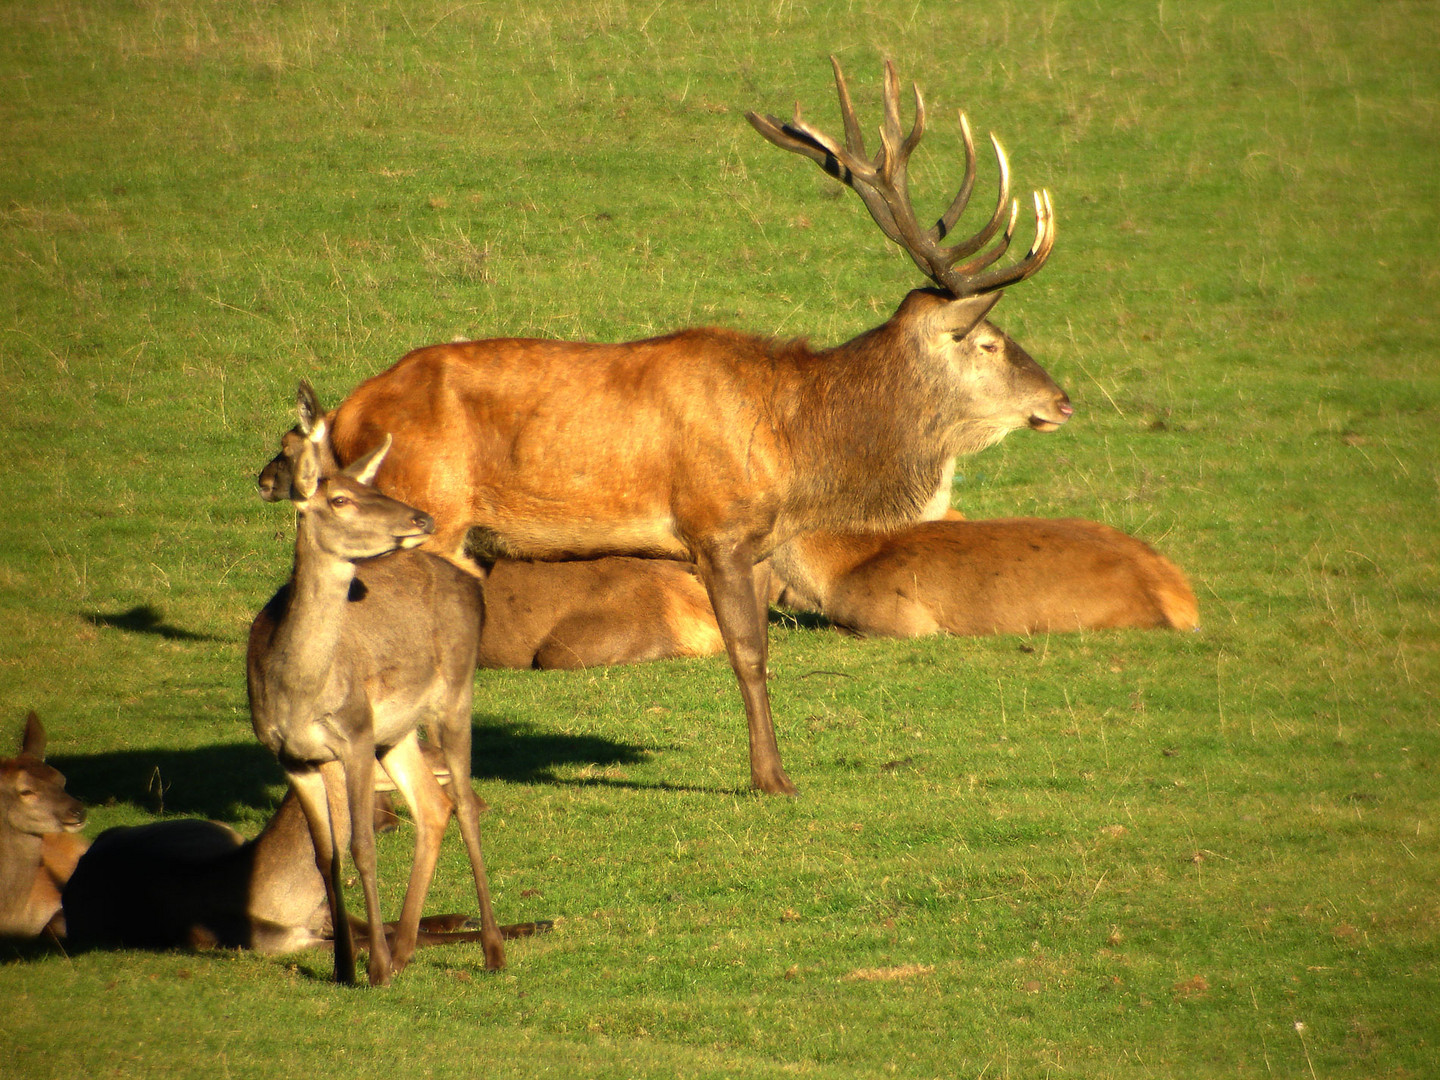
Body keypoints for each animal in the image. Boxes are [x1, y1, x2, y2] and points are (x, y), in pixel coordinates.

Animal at [252, 408, 506, 984]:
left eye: (371, 486)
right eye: (341, 499)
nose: (421, 518)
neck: (296, 691)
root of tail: (471, 583)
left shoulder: (354, 731)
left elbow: (362, 848)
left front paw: (376, 969)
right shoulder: (293, 756)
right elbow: (326, 857)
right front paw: (346, 965)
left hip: (454, 694)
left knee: (465, 804)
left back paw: (492, 949)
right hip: (397, 732)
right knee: (433, 807)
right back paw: (407, 946)